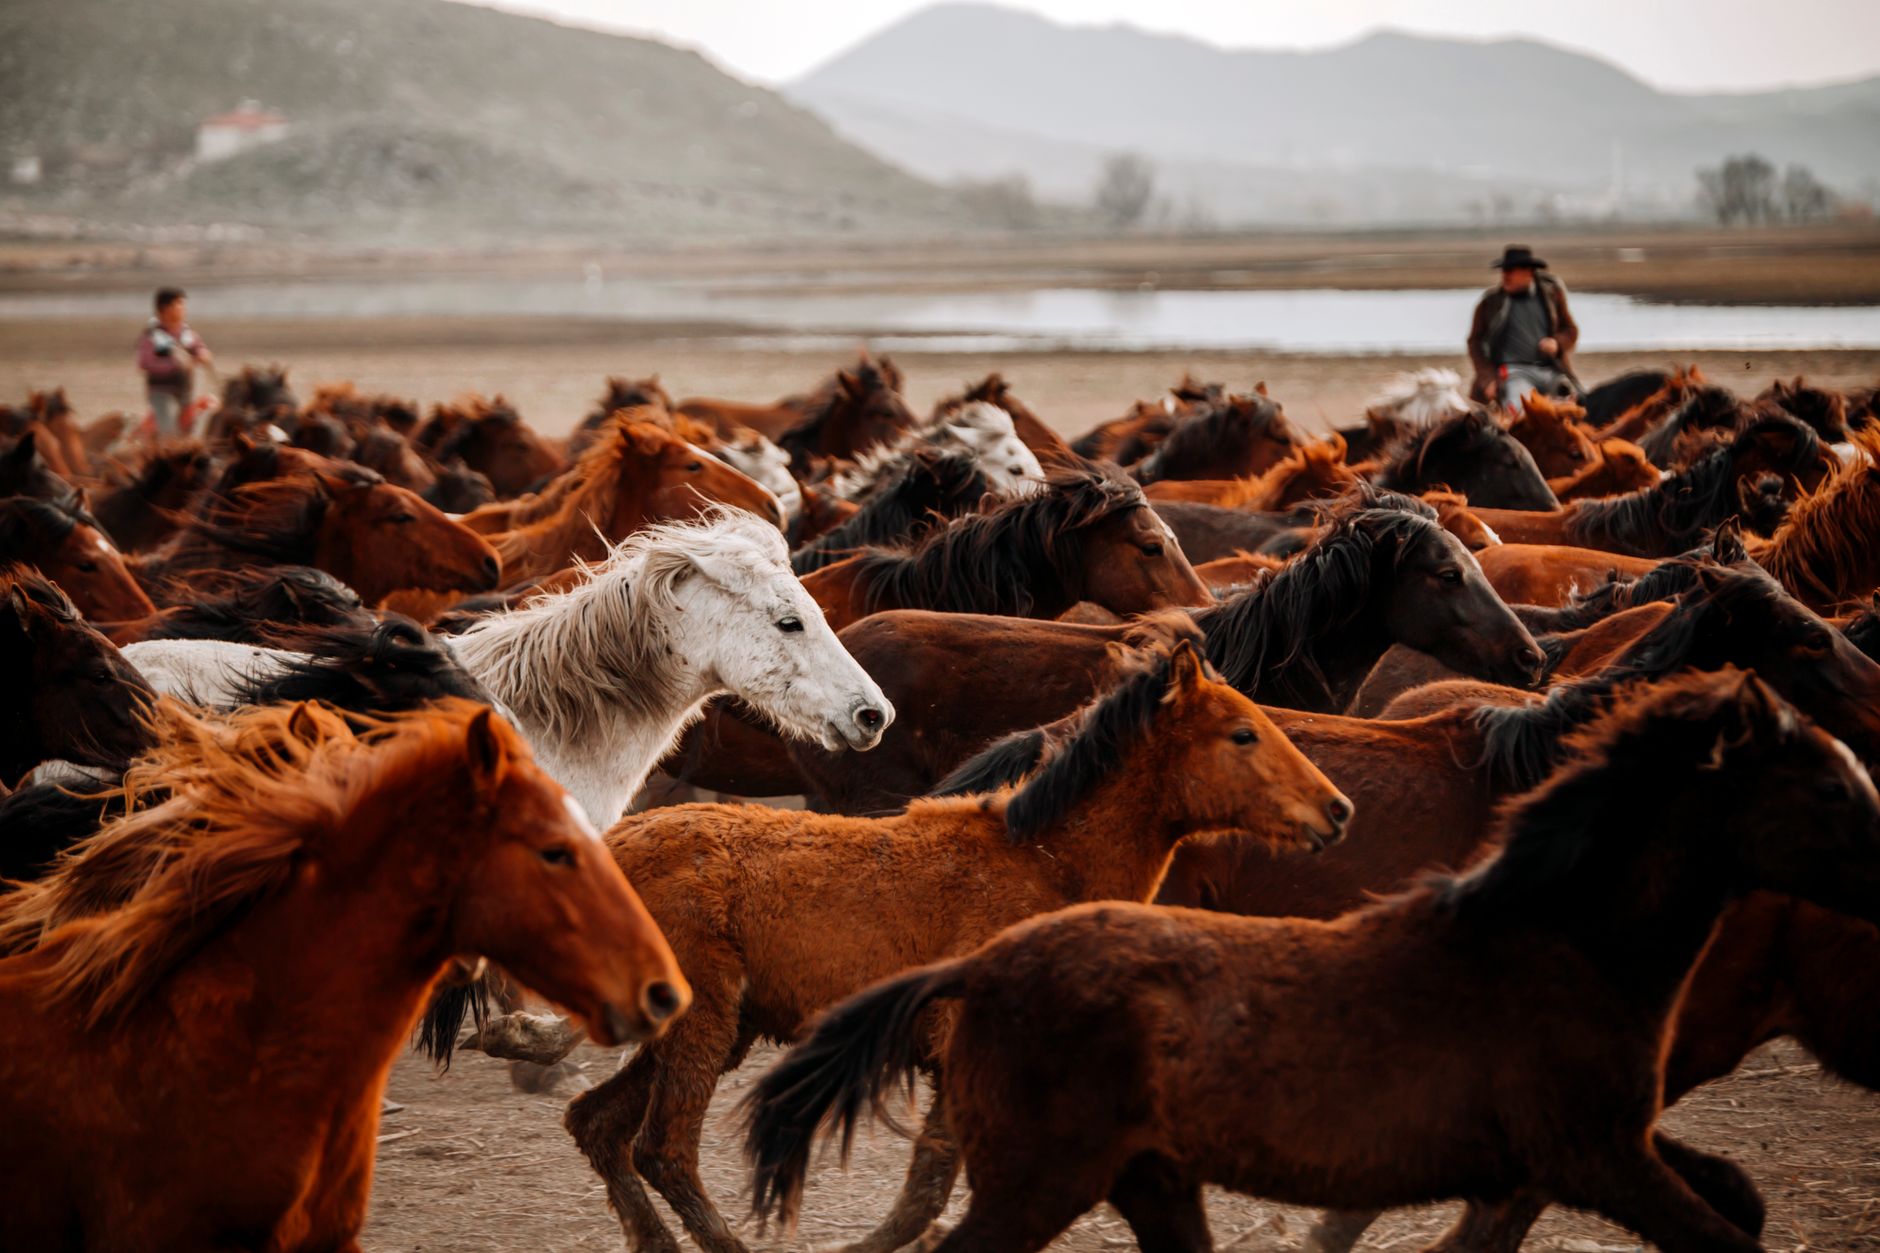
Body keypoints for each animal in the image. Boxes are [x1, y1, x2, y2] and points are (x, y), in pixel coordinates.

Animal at [554, 643, 1349, 1253]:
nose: (1336, 810)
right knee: (663, 1149)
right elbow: (929, 1189)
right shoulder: (956, 1046)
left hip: (710, 1029)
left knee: (596, 1125)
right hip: (706, 1024)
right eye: (1242, 734)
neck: (1043, 860)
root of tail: (610, 847)